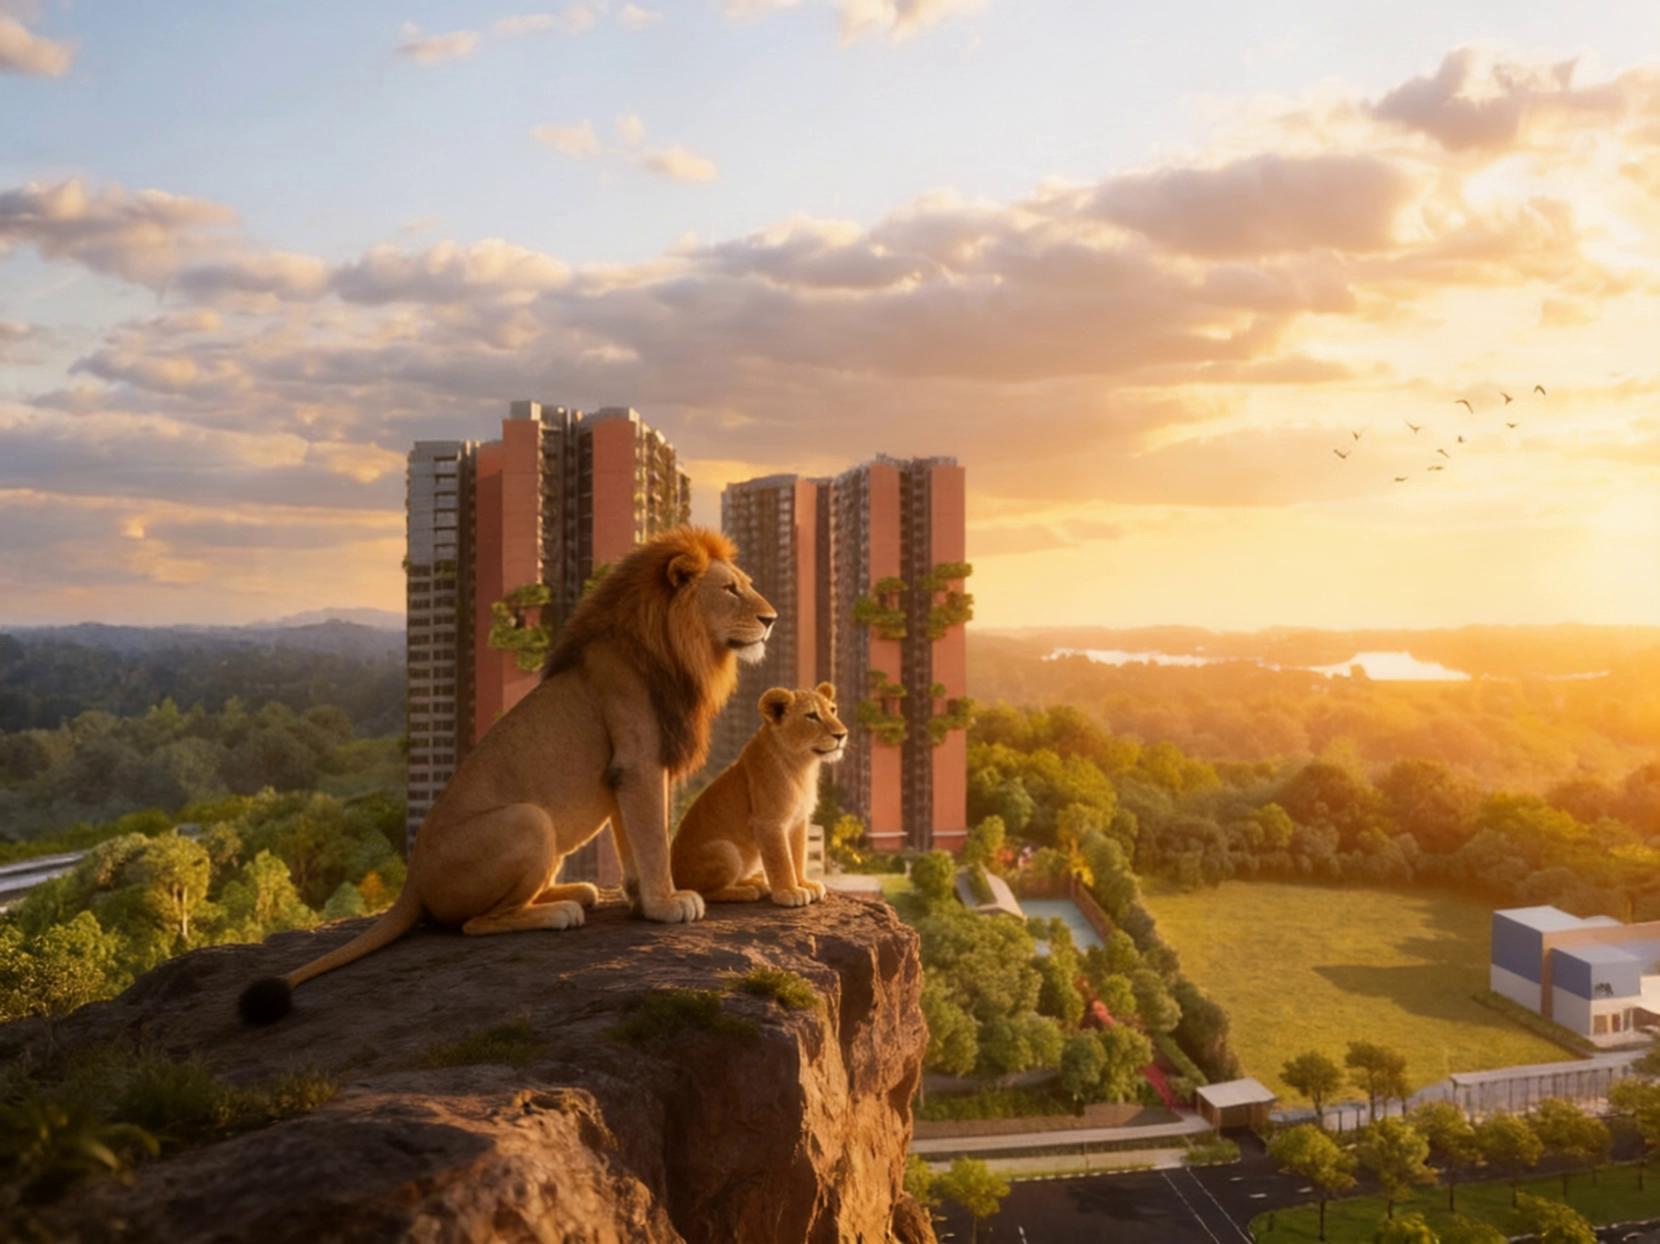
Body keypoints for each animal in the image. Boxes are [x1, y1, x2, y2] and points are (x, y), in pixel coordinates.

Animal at [238, 526, 777, 1024]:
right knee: (473, 924)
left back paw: (573, 892)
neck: (677, 649)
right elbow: (652, 839)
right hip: (528, 820)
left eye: (749, 584)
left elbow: (633, 842)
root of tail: (412, 882)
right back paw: (559, 911)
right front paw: (668, 904)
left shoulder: (625, 772)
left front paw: (643, 901)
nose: (771, 620)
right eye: (730, 589)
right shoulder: (639, 761)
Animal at [671, 682, 845, 907]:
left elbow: (798, 854)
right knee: (702, 892)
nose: (842, 735)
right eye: (812, 716)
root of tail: (673, 876)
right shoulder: (768, 822)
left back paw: (755, 881)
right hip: (726, 851)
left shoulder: (799, 820)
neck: (803, 765)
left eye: (833, 710)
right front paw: (789, 891)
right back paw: (747, 891)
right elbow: (781, 859)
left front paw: (804, 884)